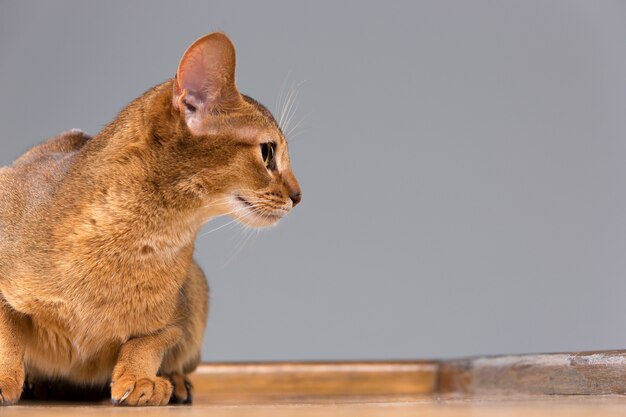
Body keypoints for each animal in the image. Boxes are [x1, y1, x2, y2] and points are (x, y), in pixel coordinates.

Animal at [0, 32, 300, 406]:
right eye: (268, 152)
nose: (299, 196)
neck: (143, 239)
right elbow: (7, 333)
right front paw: (6, 379)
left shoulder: (179, 313)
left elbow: (147, 341)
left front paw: (139, 379)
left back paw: (177, 383)